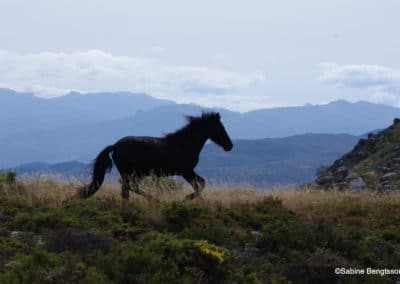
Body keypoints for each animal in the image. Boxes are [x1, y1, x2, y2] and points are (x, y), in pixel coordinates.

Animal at [79, 112, 233, 201]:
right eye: (220, 127)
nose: (229, 145)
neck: (185, 143)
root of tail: (115, 146)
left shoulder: (188, 172)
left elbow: (201, 183)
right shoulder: (186, 171)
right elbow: (199, 185)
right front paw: (187, 198)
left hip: (130, 174)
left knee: (126, 192)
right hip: (134, 173)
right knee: (131, 189)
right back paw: (153, 198)